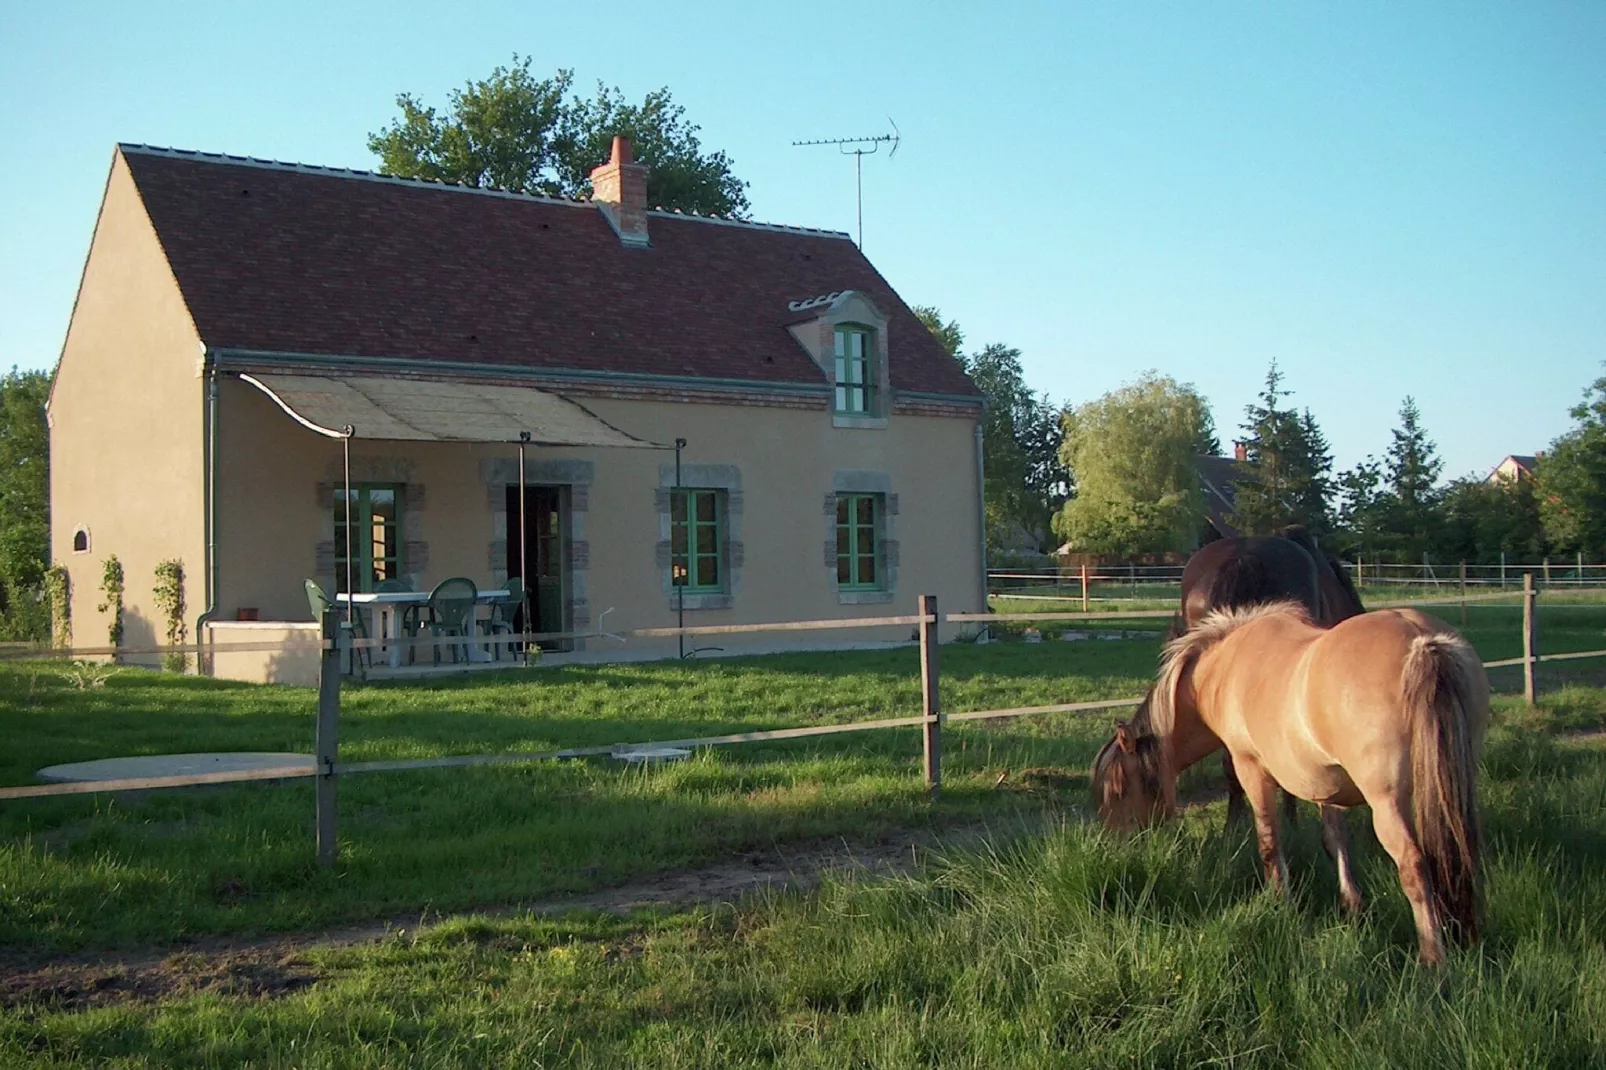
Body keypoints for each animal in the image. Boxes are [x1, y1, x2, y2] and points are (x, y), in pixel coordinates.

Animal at [1098, 604, 1483, 963]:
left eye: (1118, 790)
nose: (1113, 846)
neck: (1224, 668)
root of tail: (1420, 640)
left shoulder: (1251, 769)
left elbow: (1270, 843)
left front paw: (1280, 904)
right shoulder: (1327, 784)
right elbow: (1336, 841)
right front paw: (1351, 905)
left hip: (1387, 803)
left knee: (1413, 866)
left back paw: (1433, 959)